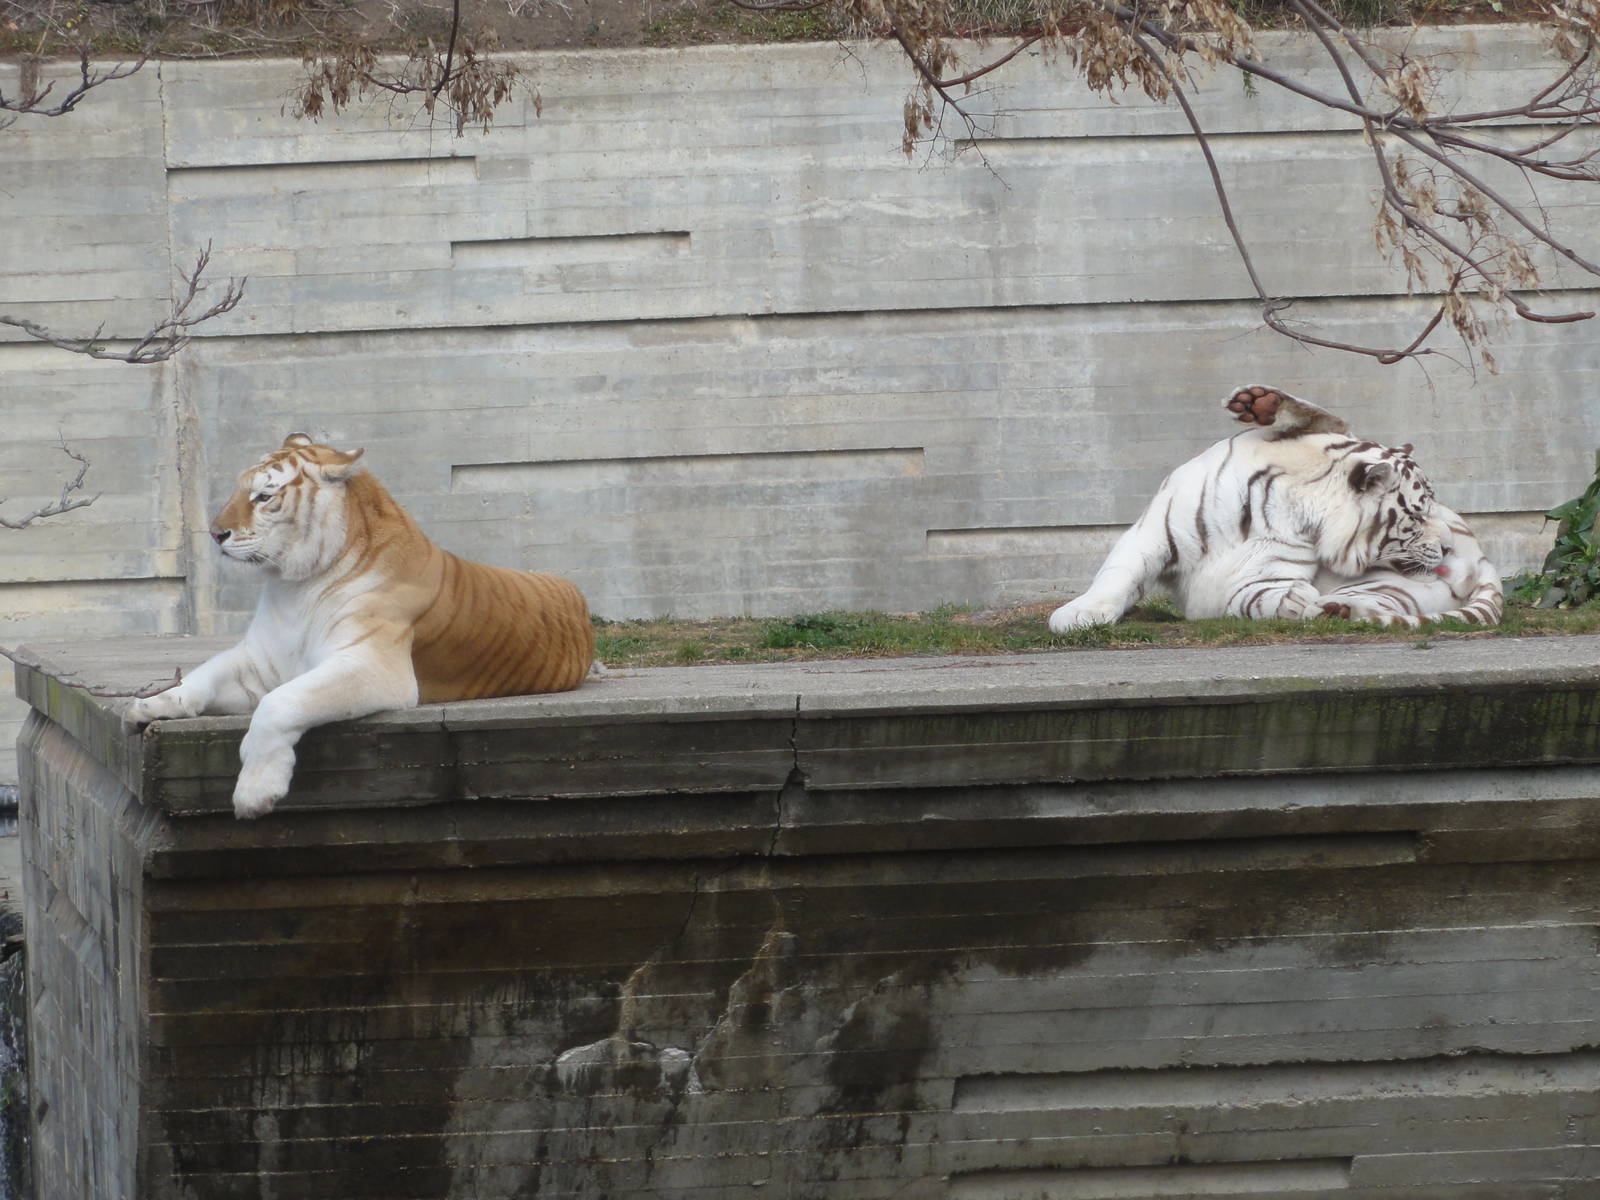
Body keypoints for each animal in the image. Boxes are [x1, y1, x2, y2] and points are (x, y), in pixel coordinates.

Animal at [124, 433, 597, 820]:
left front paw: (255, 791)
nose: (215, 533)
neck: (294, 585)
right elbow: (203, 674)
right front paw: (150, 704)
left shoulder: (373, 664)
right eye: (241, 488)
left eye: (263, 496)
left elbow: (279, 702)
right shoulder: (261, 661)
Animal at [1048, 384, 1459, 632]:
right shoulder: (1156, 532)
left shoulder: (1260, 577)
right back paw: (1260, 402)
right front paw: (1080, 614)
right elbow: (1118, 573)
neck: (1303, 500)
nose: (1449, 546)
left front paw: (1303, 602)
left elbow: (1258, 598)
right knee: (1326, 422)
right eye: (1418, 514)